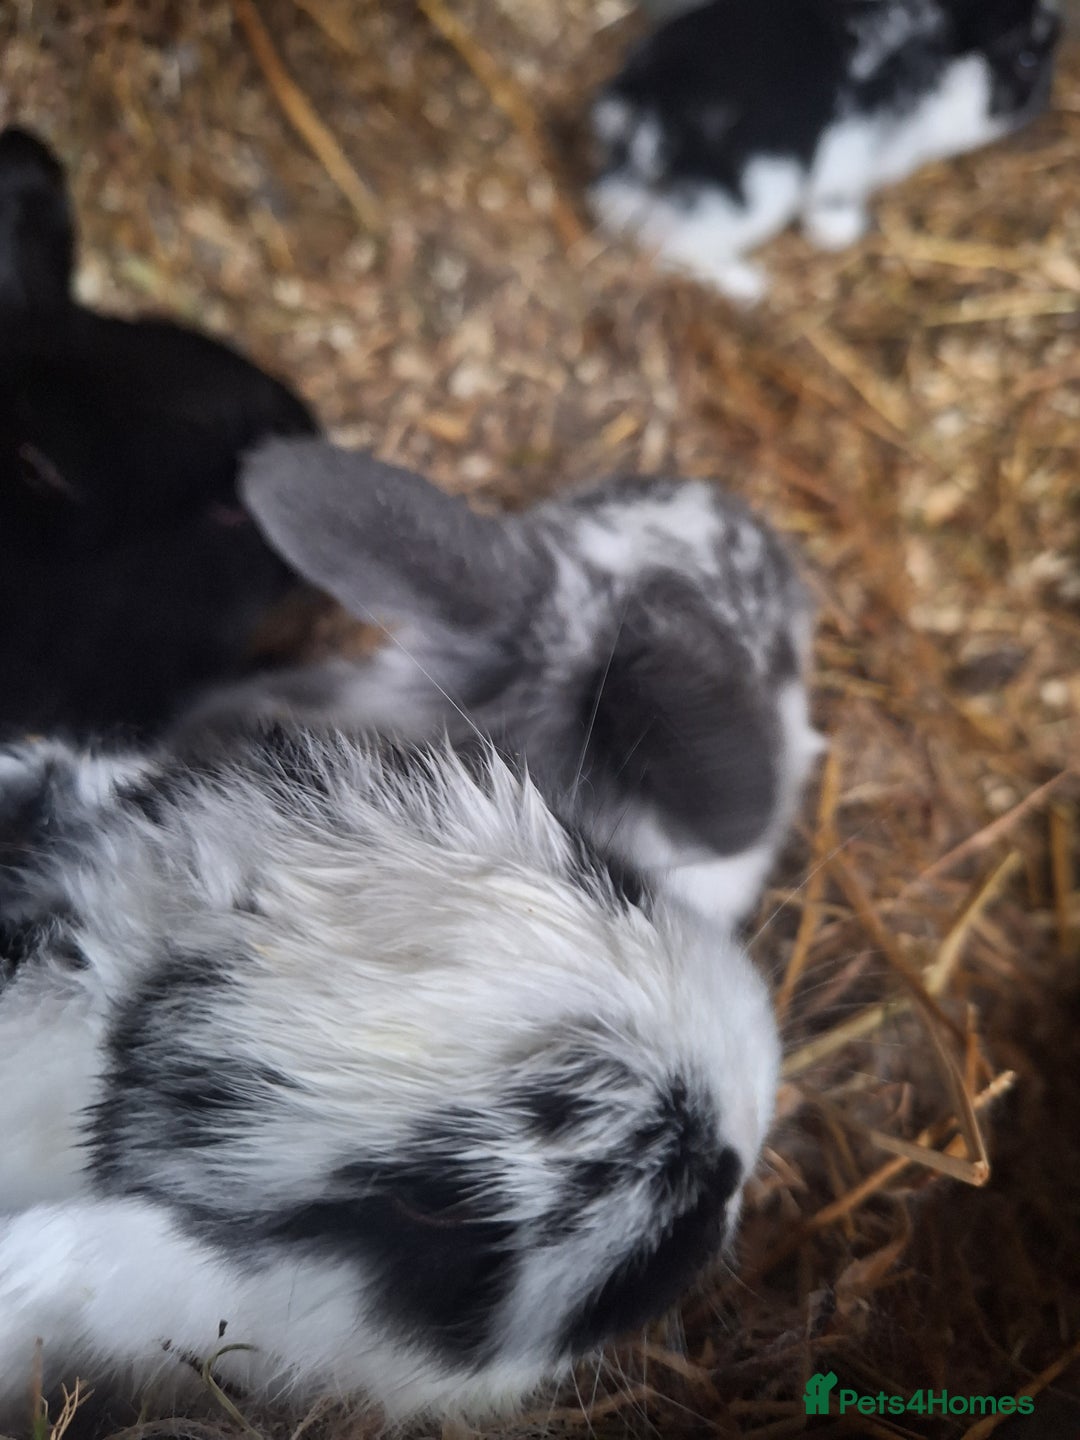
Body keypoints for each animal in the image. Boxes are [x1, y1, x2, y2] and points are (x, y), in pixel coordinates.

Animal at [587, 0, 1062, 300]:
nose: (1044, 102)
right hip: (751, 199)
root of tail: (633, 105)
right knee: (677, 244)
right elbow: (830, 214)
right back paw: (749, 285)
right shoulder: (846, 160)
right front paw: (844, 233)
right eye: (1026, 58)